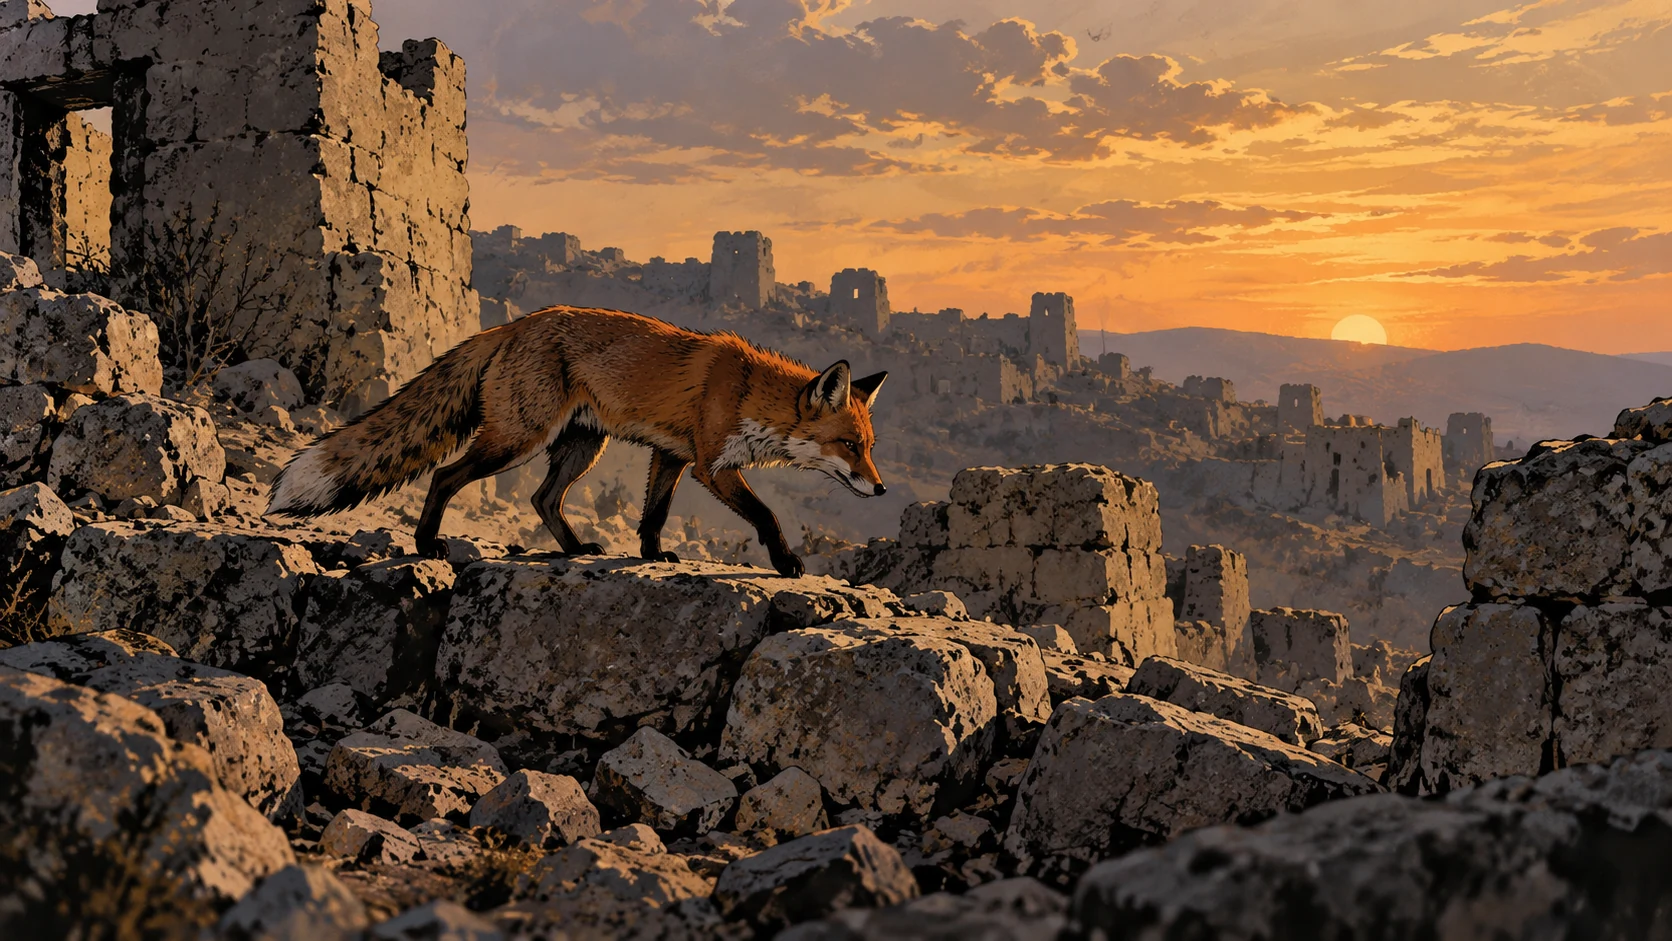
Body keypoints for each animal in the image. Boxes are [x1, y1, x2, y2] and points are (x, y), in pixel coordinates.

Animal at [266, 305, 888, 577]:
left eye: (871, 446)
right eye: (850, 447)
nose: (882, 491)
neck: (749, 392)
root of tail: (514, 323)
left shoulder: (671, 454)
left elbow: (654, 515)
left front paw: (652, 556)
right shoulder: (712, 463)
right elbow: (766, 516)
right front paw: (787, 562)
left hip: (582, 446)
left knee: (543, 499)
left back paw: (573, 550)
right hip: (518, 438)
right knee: (445, 476)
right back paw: (426, 544)